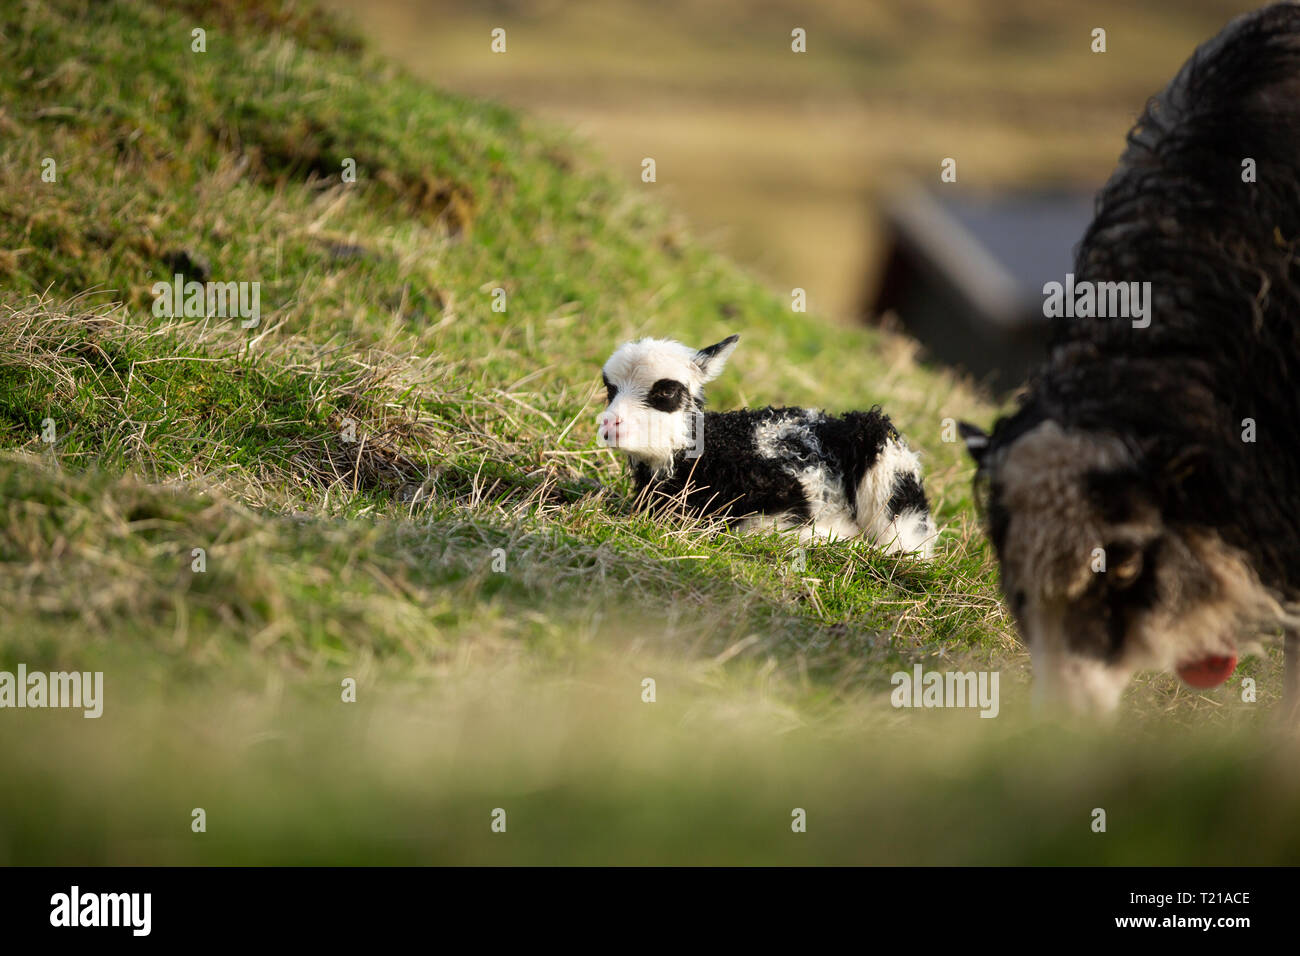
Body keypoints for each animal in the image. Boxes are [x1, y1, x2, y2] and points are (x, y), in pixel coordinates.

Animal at [595, 335, 941, 561]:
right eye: (610, 388)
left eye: (667, 392)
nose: (610, 425)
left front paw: (838, 538)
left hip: (889, 472)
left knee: (906, 545)